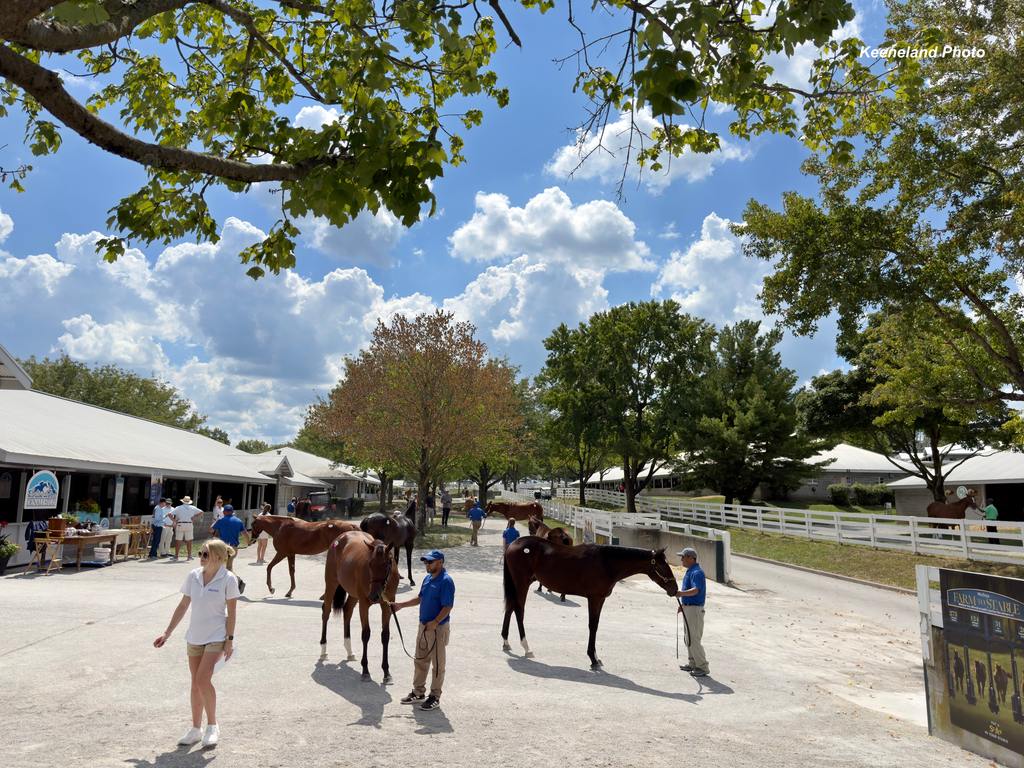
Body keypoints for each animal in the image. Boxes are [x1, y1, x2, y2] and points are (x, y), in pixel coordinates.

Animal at [319, 532, 399, 684]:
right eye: (370, 564)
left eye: (386, 564)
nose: (374, 596)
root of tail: (340, 538)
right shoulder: (364, 604)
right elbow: (366, 634)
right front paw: (365, 671)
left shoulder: (387, 604)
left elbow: (385, 635)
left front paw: (386, 673)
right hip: (331, 583)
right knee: (325, 612)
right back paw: (323, 649)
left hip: (352, 594)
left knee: (347, 611)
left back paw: (349, 651)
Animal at [503, 536, 679, 671]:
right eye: (662, 565)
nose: (675, 589)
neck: (606, 562)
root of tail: (514, 544)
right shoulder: (594, 598)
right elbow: (592, 625)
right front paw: (593, 659)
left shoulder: (600, 599)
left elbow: (596, 624)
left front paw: (596, 657)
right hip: (521, 583)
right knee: (518, 610)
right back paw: (526, 647)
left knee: (510, 607)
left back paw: (506, 642)